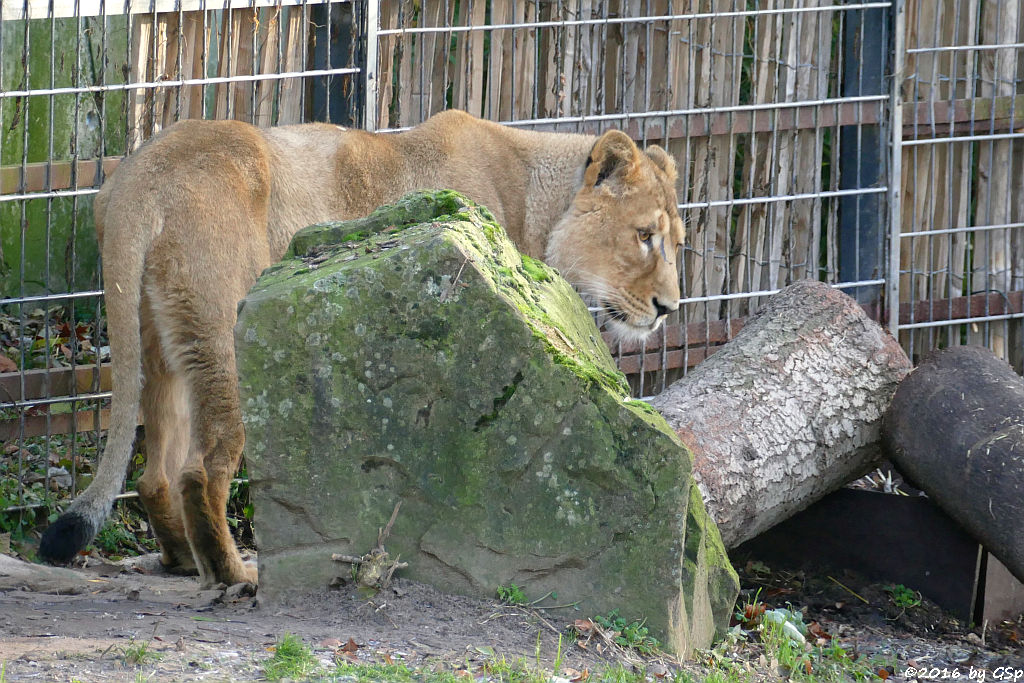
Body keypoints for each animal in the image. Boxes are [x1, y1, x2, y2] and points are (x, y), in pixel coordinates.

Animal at [39, 108, 684, 589]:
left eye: (676, 241)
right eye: (644, 237)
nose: (669, 310)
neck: (534, 204)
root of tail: (140, 177)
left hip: (158, 344)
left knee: (156, 475)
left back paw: (179, 562)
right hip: (225, 332)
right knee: (201, 471)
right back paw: (233, 574)